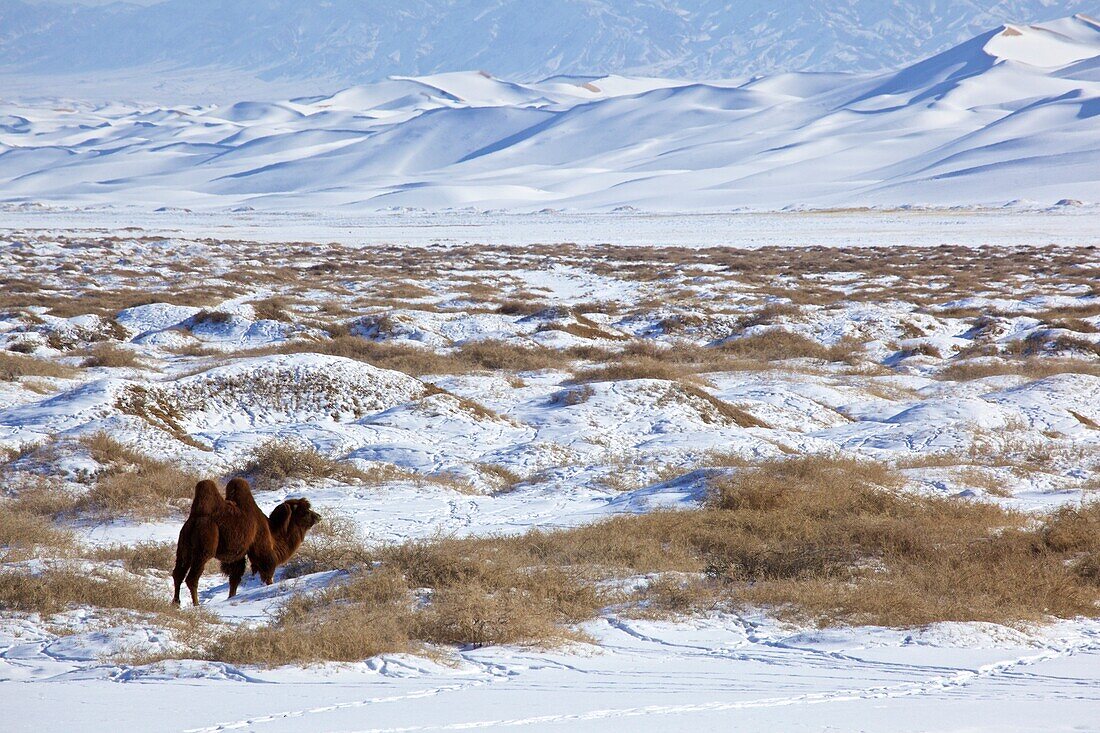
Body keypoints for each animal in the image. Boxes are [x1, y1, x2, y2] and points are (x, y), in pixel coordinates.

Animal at [170, 477, 319, 603]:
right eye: (305, 511)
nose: (318, 516)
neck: (272, 532)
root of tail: (195, 520)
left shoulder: (238, 556)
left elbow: (234, 579)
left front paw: (231, 597)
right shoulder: (261, 550)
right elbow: (267, 572)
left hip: (183, 549)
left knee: (178, 574)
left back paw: (176, 603)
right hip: (203, 550)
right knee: (192, 578)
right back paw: (196, 604)